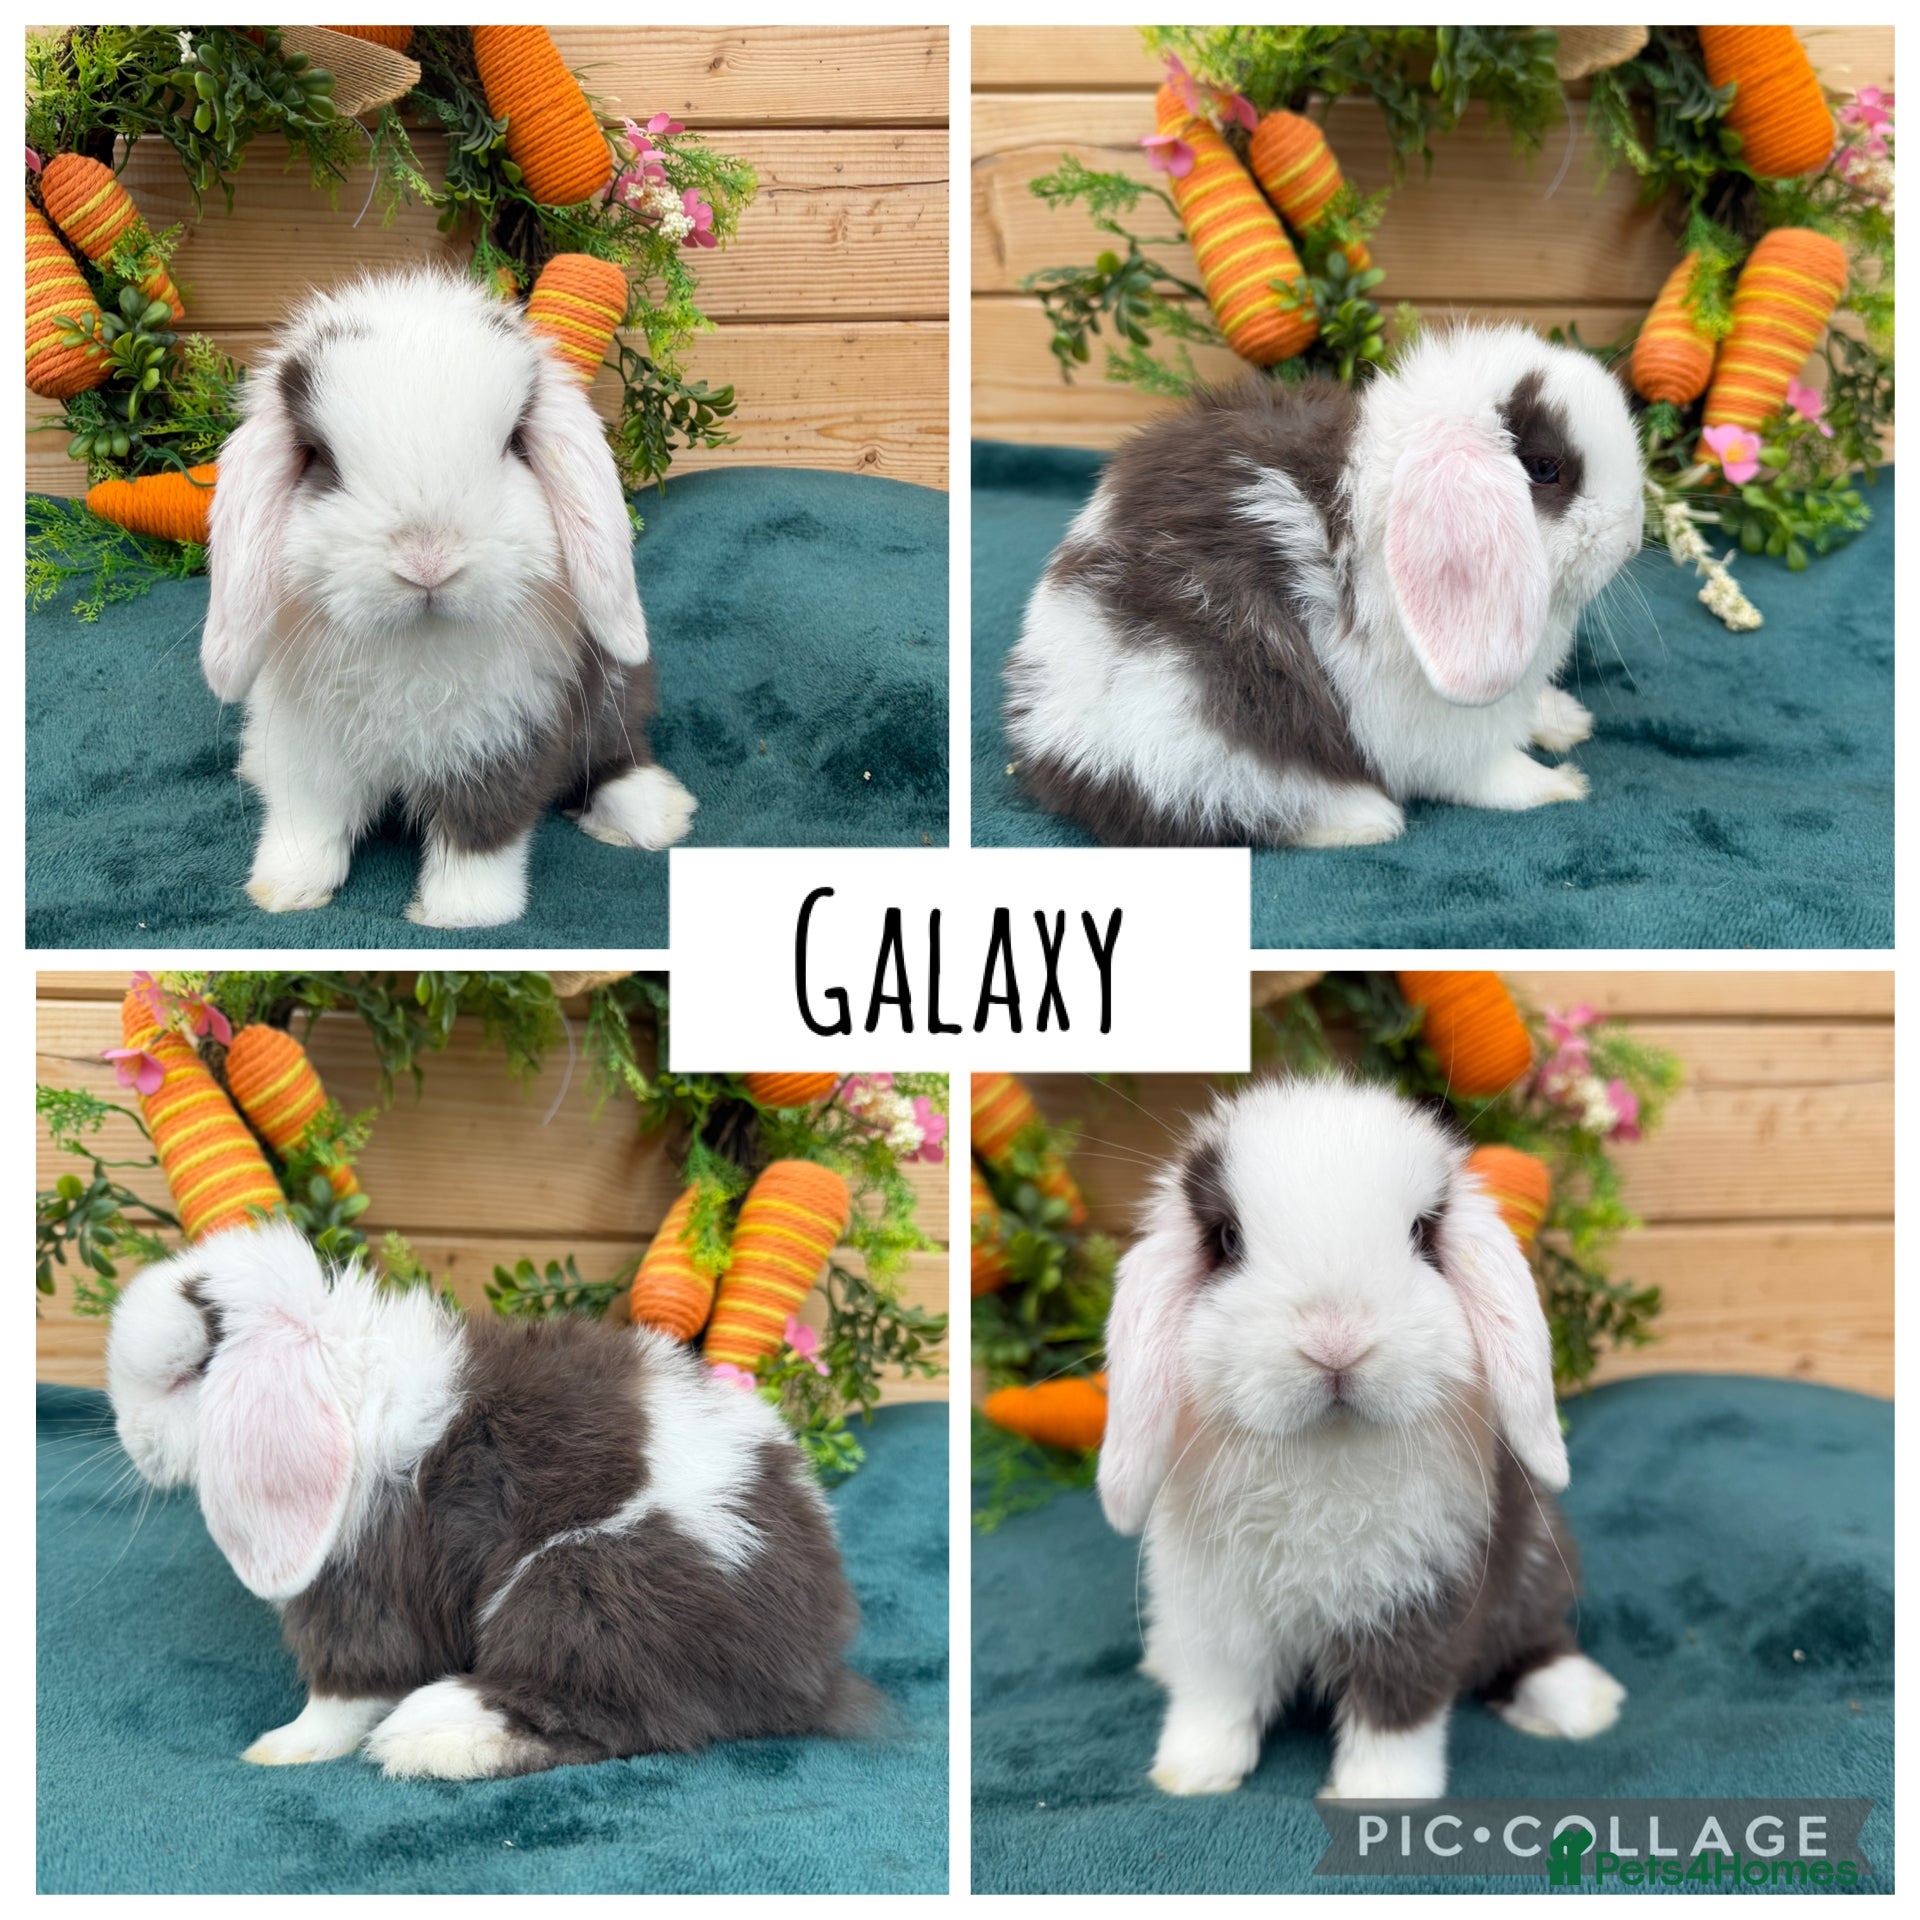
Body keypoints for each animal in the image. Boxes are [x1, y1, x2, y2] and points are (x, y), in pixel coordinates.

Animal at [106, 1222, 877, 1779]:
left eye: (187, 1375)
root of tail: (812, 1665)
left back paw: (432, 1734)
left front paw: (281, 1747)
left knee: (617, 1711)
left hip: (581, 1586)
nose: (130, 1438)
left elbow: (342, 1691)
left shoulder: (363, 1589)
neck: (348, 1388)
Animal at [203, 266, 698, 930]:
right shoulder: (306, 747)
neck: (419, 645)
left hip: (612, 691)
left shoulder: (504, 741)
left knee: (615, 753)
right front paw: (286, 889)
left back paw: (656, 813)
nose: (427, 559)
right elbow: (308, 818)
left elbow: (481, 830)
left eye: (514, 444)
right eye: (321, 459)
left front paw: (463, 913)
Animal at [1004, 323, 1645, 846]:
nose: (1633, 536)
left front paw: (1566, 722)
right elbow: (1489, 776)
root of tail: (1044, 738)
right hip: (1191, 719)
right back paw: (1366, 820)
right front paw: (1560, 785)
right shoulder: (1447, 735)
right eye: (1545, 469)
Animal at [1098, 1077, 1623, 1801]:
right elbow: (1215, 1697)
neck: (1327, 1449)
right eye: (1228, 1239)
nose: (1335, 1338)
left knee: (1532, 1640)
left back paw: (1582, 1702)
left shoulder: (1420, 1603)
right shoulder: (1217, 1615)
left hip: (1533, 1562)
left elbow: (1395, 1710)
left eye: (1421, 1233)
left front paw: (1378, 1796)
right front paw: (1192, 1772)